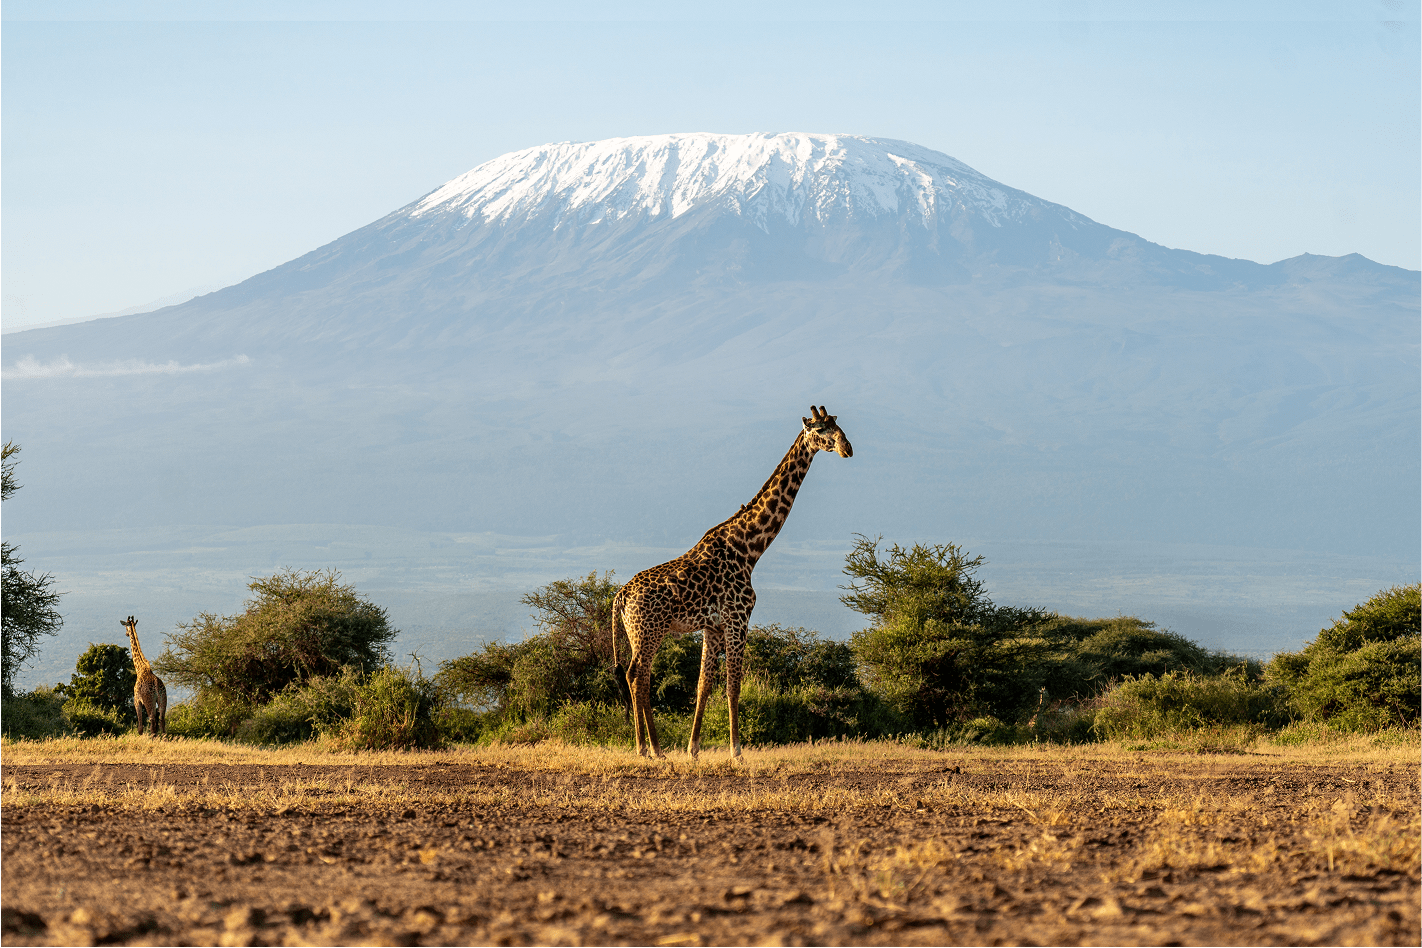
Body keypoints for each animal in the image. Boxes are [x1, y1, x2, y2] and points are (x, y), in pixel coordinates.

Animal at [613, 406, 853, 759]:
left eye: (839, 426)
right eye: (821, 430)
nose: (847, 448)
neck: (749, 548)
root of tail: (621, 595)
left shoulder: (713, 626)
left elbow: (704, 685)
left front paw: (693, 749)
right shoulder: (738, 618)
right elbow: (734, 684)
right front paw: (737, 750)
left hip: (636, 633)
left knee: (635, 676)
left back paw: (648, 748)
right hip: (649, 630)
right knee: (638, 676)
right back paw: (651, 749)